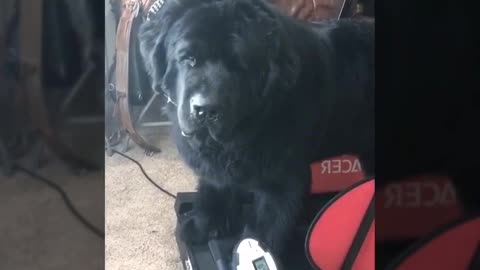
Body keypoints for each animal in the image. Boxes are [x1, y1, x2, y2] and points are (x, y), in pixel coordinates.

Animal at [137, 0, 374, 255]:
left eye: (238, 66)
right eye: (188, 59)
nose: (206, 109)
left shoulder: (281, 180)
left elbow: (267, 223)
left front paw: (253, 251)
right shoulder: (217, 166)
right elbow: (216, 187)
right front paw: (204, 224)